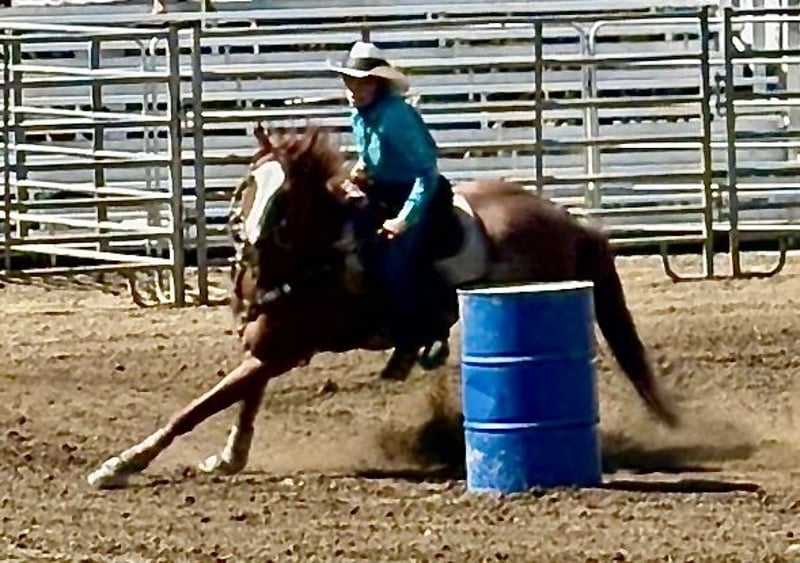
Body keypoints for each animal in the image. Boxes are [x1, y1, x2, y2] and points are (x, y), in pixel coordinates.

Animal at [86, 123, 680, 489]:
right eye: (250, 182)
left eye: (286, 195)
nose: (246, 240)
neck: (316, 255)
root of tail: (569, 223)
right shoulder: (267, 348)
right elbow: (243, 401)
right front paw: (229, 457)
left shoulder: (281, 351)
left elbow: (197, 408)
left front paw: (118, 466)